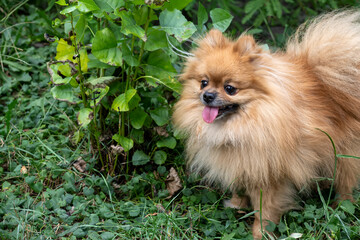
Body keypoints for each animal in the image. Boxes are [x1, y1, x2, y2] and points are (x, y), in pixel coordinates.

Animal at [172, 9, 360, 238]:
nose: (207, 95)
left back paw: (341, 204)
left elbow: (265, 210)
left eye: (230, 88)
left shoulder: (269, 177)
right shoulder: (241, 164)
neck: (241, 126)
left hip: (344, 154)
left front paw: (260, 233)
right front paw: (237, 205)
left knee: (346, 181)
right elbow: (239, 188)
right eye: (203, 82)